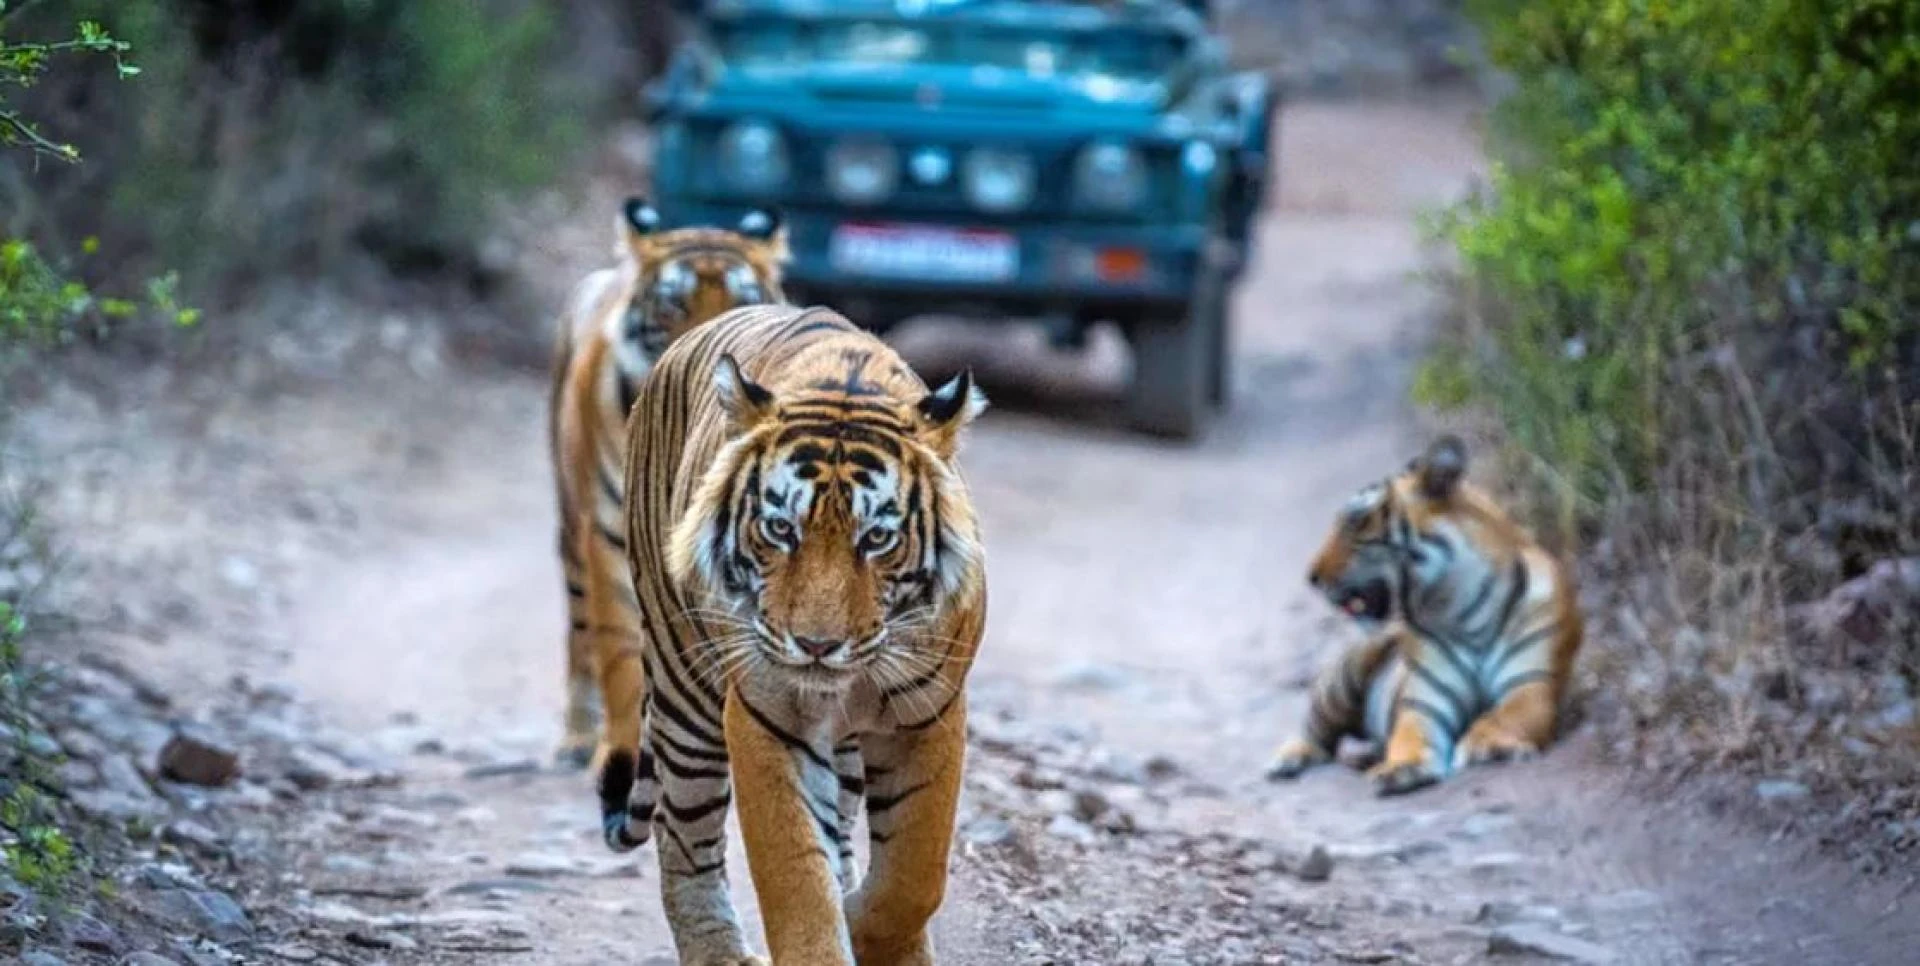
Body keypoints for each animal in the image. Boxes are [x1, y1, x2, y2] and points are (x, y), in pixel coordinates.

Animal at [549, 198, 788, 768]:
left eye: (743, 301)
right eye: (674, 304)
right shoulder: (609, 535)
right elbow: (618, 652)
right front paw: (619, 748)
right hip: (572, 525)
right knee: (579, 629)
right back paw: (576, 737)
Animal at [601, 302, 988, 966]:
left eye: (876, 538)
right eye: (780, 529)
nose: (816, 646)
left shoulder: (930, 714)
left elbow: (914, 874)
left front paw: (873, 929)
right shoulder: (766, 716)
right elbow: (796, 875)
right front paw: (836, 929)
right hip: (684, 692)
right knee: (685, 839)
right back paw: (720, 953)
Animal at [1265, 435, 1584, 796]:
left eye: (1354, 521)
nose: (1312, 577)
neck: (1462, 607)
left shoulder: (1531, 684)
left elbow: (1505, 715)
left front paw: (1486, 745)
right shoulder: (1425, 702)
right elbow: (1409, 734)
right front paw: (1401, 767)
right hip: (1346, 674)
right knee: (1316, 731)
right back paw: (1287, 760)